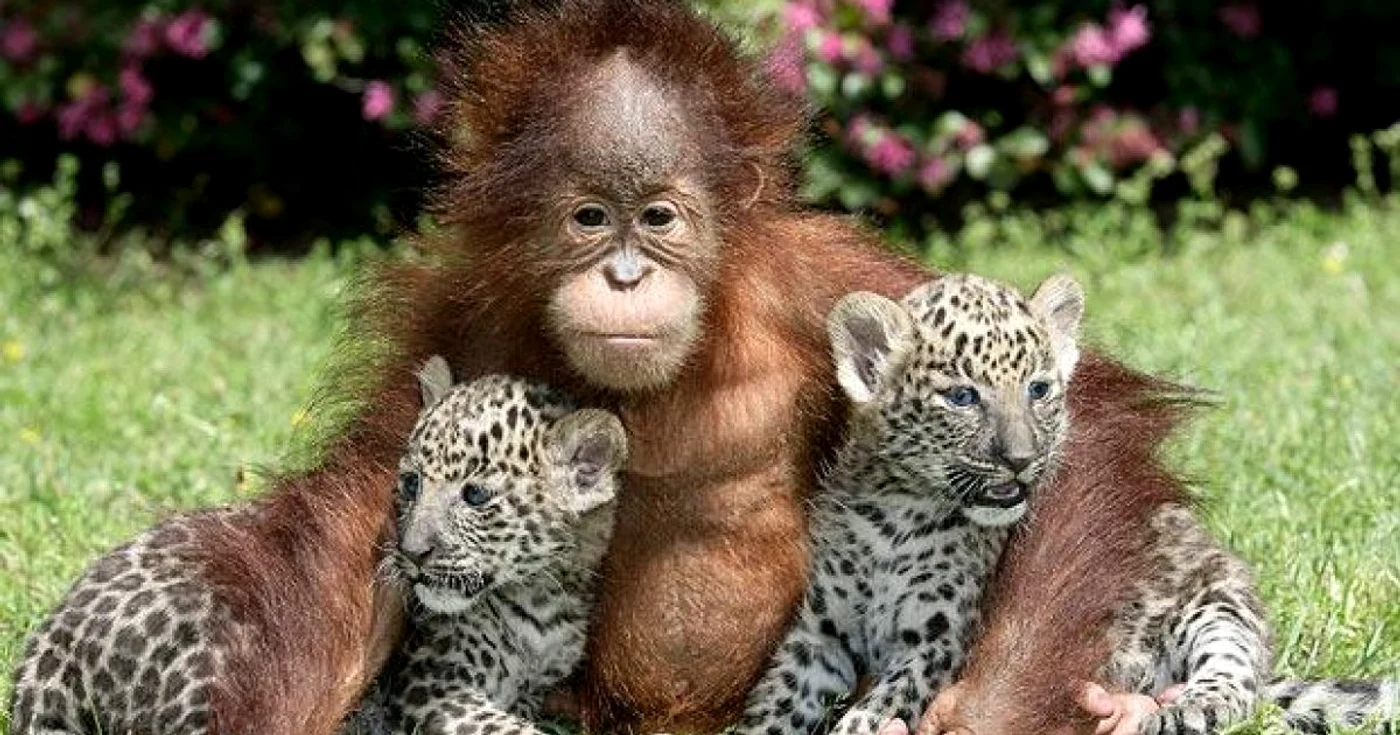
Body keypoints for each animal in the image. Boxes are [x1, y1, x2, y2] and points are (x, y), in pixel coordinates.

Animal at [344, 357, 626, 735]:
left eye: (475, 495)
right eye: (411, 483)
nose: (411, 552)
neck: (541, 605)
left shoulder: (535, 688)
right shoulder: (431, 679)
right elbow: (509, 728)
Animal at [733, 272, 1087, 735]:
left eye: (1039, 390)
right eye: (962, 397)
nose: (1021, 459)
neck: (897, 515)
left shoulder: (936, 642)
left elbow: (871, 715)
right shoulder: (822, 636)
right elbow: (773, 709)